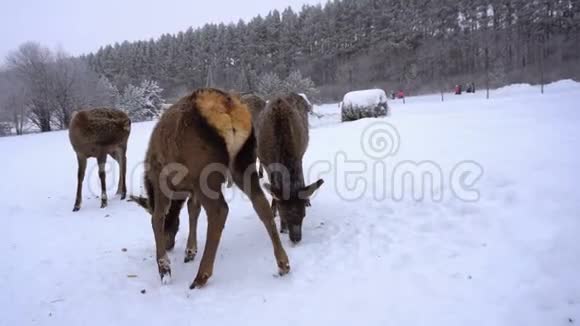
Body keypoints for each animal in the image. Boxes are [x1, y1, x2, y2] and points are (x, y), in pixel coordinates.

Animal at [129, 87, 288, 288]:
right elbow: (193, 210)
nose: (169, 245)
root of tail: (227, 106)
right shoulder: (193, 188)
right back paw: (283, 263)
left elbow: (157, 218)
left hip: (205, 169)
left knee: (219, 211)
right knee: (261, 204)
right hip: (243, 161)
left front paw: (164, 268)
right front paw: (190, 251)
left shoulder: (161, 181)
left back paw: (201, 275)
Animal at [256, 93, 324, 243]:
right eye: (285, 215)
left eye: (303, 215)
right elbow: (274, 190)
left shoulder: (298, 156)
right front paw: (275, 213)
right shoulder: (266, 163)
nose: (296, 238)